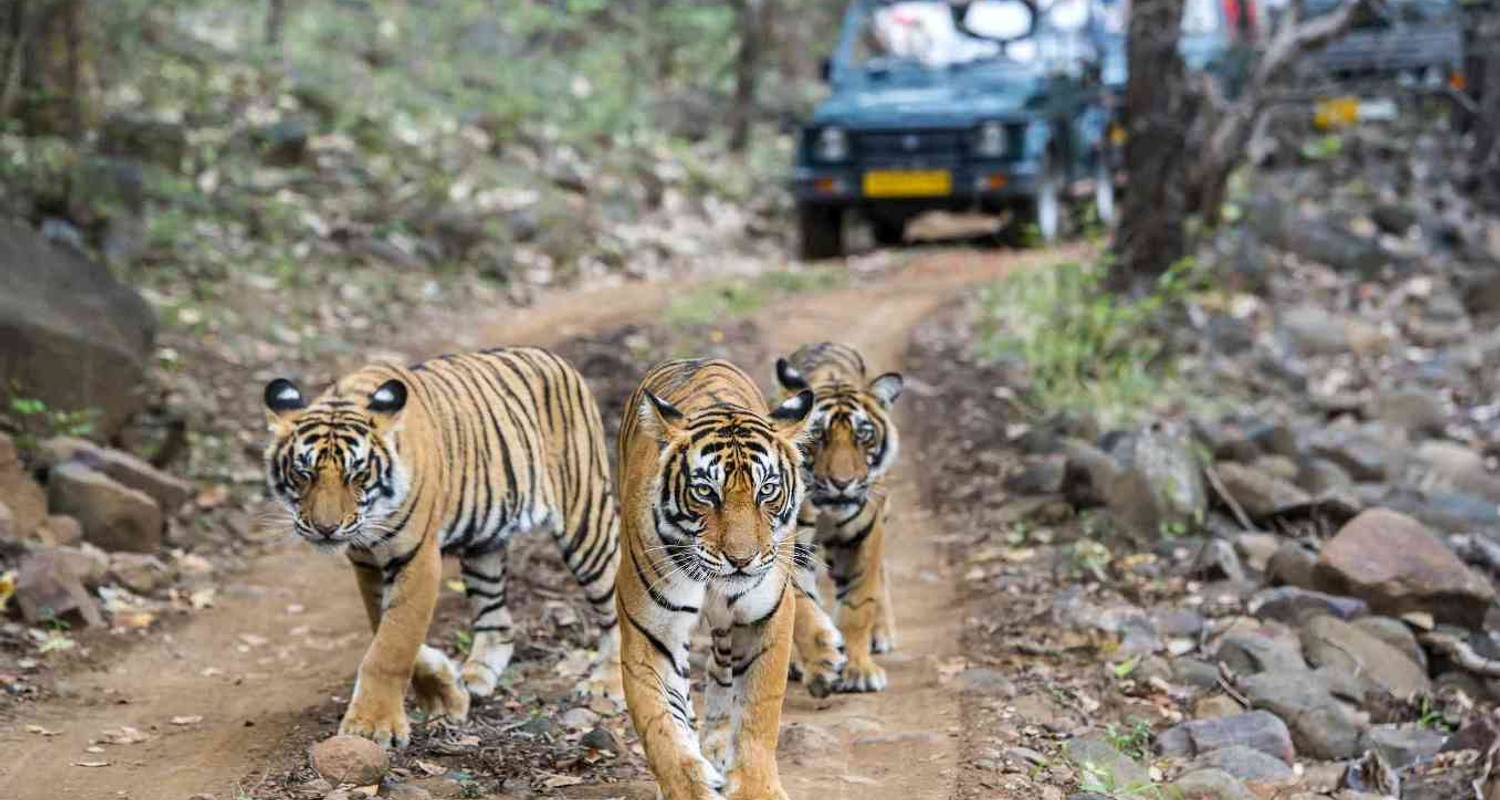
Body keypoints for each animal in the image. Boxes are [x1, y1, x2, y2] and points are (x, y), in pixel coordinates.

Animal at [264, 349, 621, 747]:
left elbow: (393, 644)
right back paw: (476, 678)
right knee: (497, 621)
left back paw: (608, 683)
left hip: (586, 520)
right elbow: (384, 628)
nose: (326, 529)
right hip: (484, 546)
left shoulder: (417, 558)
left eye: (357, 474)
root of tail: (555, 359)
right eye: (303, 474)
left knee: (615, 603)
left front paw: (373, 726)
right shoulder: (367, 563)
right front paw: (446, 693)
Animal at [615, 358, 816, 798]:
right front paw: (687, 785)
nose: (741, 560)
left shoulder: (766, 617)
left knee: (723, 669)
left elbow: (759, 710)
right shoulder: (651, 632)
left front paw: (755, 786)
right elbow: (661, 728)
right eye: (706, 492)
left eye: (767, 490)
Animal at [774, 342, 900, 693]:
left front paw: (860, 670)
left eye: (863, 436)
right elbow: (802, 606)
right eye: (819, 436)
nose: (842, 483)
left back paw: (882, 633)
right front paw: (823, 660)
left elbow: (858, 604)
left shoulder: (863, 536)